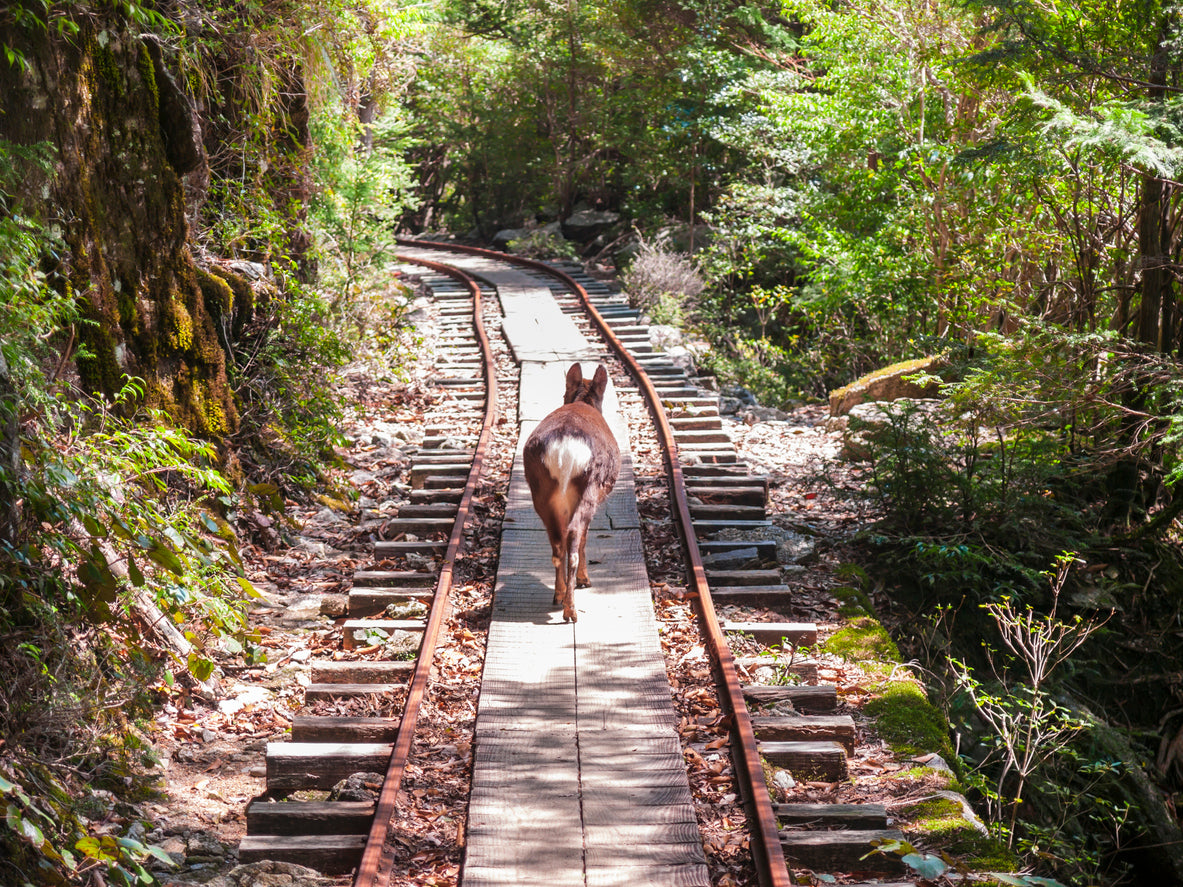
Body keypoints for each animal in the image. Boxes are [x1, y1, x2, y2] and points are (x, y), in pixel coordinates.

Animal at [522, 364, 624, 619]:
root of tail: (563, 451)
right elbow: (585, 537)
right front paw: (584, 580)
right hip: (589, 489)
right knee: (575, 536)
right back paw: (571, 609)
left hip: (541, 491)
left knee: (557, 543)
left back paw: (558, 596)